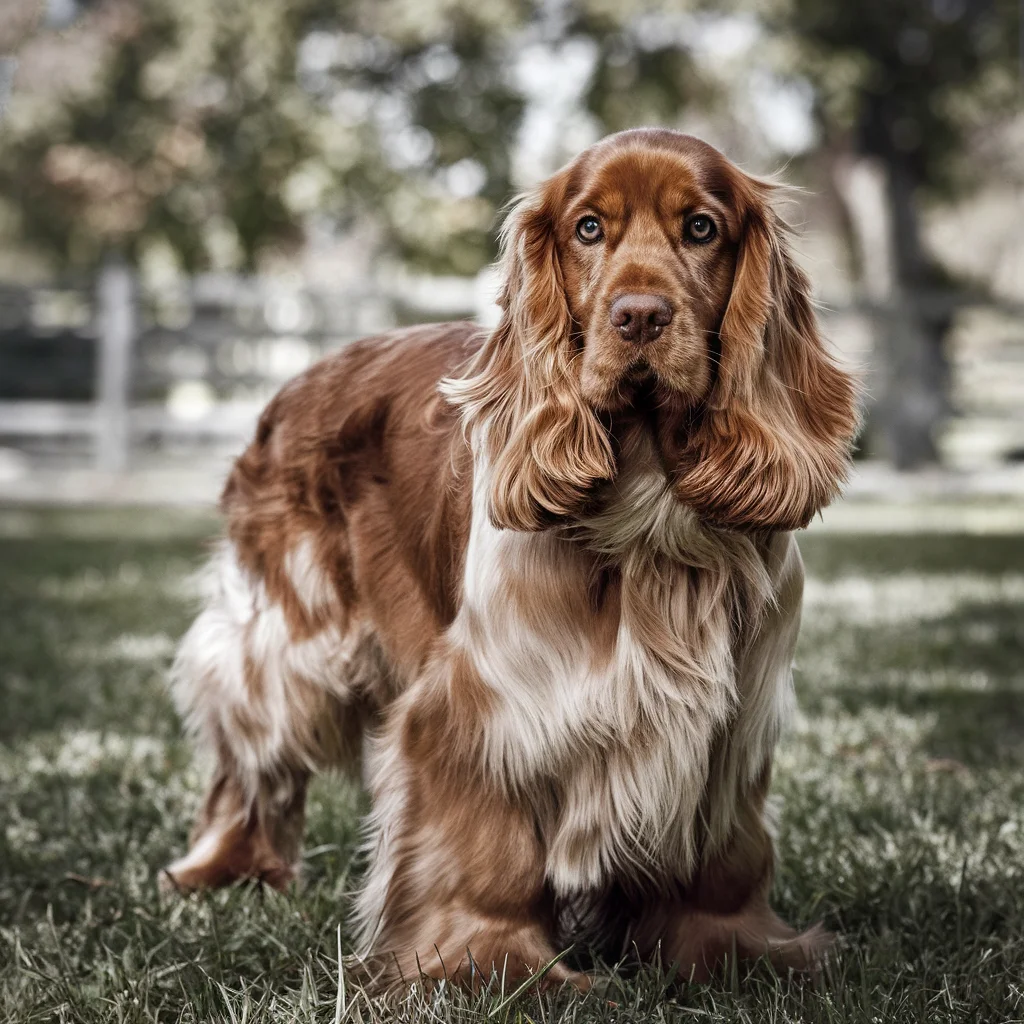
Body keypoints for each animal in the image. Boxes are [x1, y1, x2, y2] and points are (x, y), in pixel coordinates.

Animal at [165, 128, 856, 991]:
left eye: (701, 228)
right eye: (588, 228)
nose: (639, 317)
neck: (646, 501)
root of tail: (297, 378)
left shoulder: (733, 713)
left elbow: (724, 858)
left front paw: (734, 950)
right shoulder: (487, 698)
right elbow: (486, 849)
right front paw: (488, 963)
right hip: (282, 639)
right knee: (250, 753)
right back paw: (226, 867)